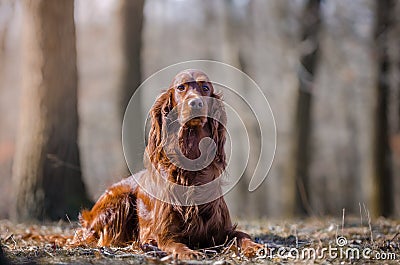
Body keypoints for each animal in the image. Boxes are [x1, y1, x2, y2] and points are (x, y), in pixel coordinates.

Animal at [73, 69, 260, 258]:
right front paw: (189, 252)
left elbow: (242, 235)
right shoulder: (164, 233)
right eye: (181, 87)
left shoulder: (222, 229)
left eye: (206, 88)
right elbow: (175, 244)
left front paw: (255, 246)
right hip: (120, 200)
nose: (196, 103)